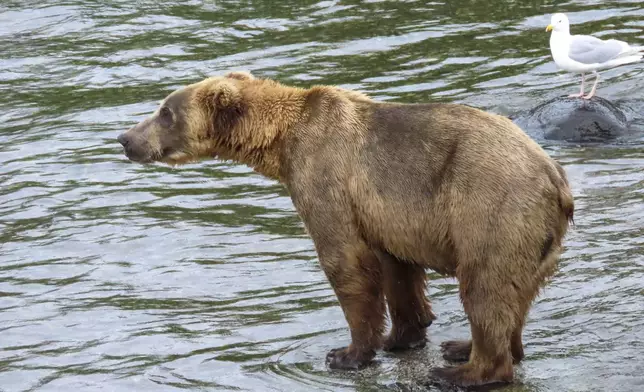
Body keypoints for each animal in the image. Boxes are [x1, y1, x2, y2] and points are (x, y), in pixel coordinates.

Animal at [115, 69, 572, 386]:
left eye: (165, 111)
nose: (125, 138)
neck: (280, 143)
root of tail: (557, 181)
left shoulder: (324, 176)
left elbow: (346, 262)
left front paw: (347, 353)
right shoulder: (385, 213)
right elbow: (397, 271)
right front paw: (403, 335)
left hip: (490, 209)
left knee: (484, 286)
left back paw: (461, 371)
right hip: (533, 236)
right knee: (515, 295)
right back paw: (465, 347)